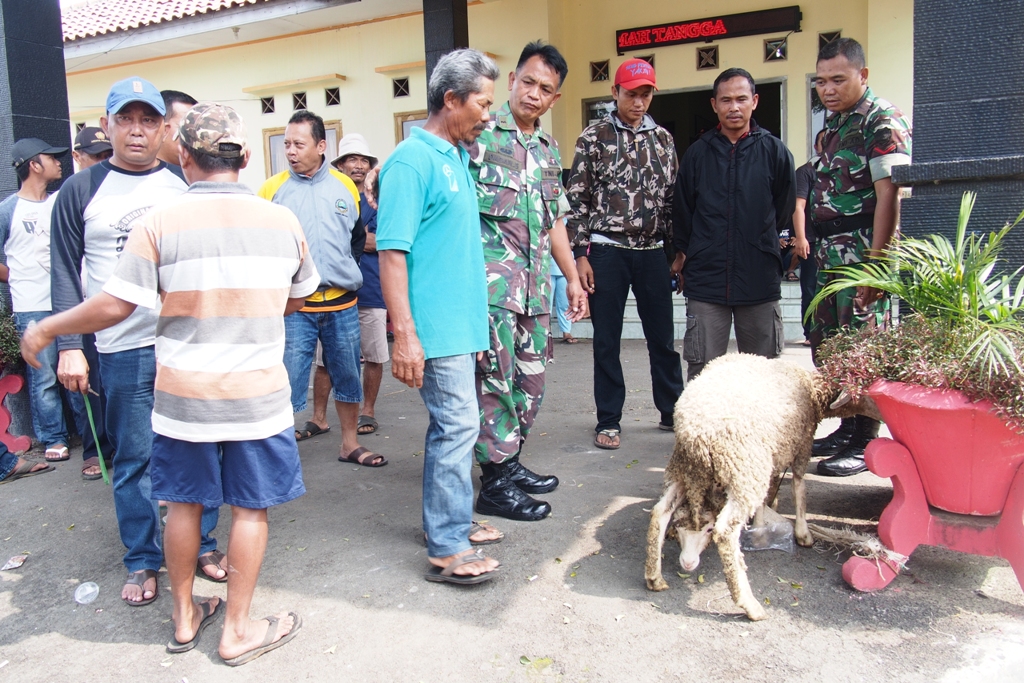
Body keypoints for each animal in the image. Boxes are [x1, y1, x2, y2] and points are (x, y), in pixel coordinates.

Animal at [638, 356, 872, 622]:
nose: (687, 564)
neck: (813, 390)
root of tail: (697, 438)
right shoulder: (801, 444)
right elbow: (799, 488)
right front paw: (803, 533)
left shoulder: (771, 454)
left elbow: (769, 491)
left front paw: (763, 519)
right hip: (742, 467)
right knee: (726, 532)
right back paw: (750, 605)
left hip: (688, 470)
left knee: (660, 512)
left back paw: (654, 577)